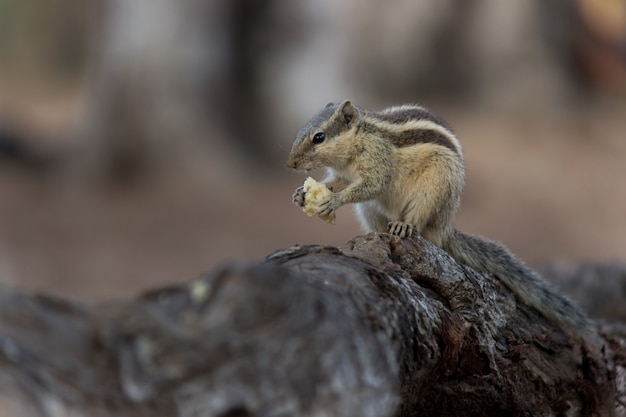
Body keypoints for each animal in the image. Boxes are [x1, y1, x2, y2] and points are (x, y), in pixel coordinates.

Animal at [286, 100, 588, 334]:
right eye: (302, 131)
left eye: (319, 137)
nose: (290, 164)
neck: (359, 140)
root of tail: (446, 227)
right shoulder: (344, 175)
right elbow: (336, 182)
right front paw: (301, 195)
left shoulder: (377, 163)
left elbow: (372, 185)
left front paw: (332, 200)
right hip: (370, 210)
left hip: (433, 190)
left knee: (418, 224)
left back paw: (404, 225)